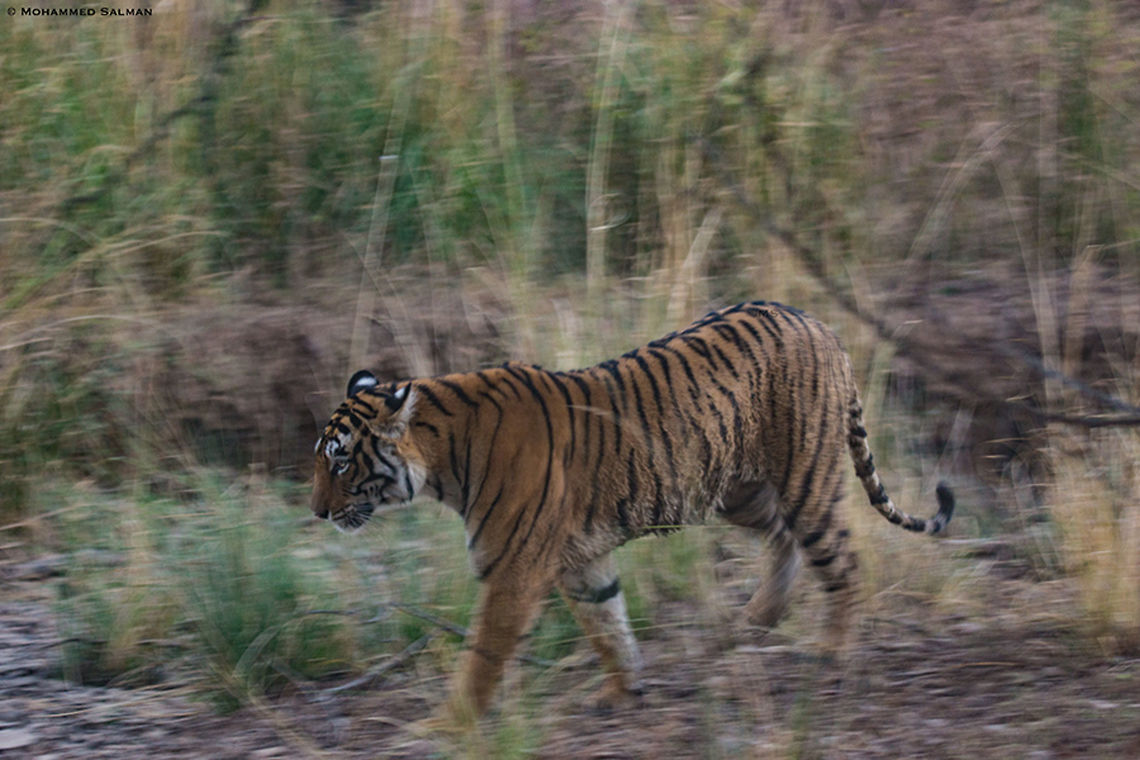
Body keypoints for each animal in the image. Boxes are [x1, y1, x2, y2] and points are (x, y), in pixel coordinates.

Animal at [310, 300, 954, 722]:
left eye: (339, 463)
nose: (315, 512)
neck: (443, 460)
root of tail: (822, 325)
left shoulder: (513, 569)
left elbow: (484, 654)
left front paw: (449, 724)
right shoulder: (578, 563)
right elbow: (608, 625)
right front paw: (623, 692)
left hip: (804, 477)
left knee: (841, 561)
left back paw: (834, 653)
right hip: (739, 491)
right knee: (784, 539)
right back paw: (757, 619)